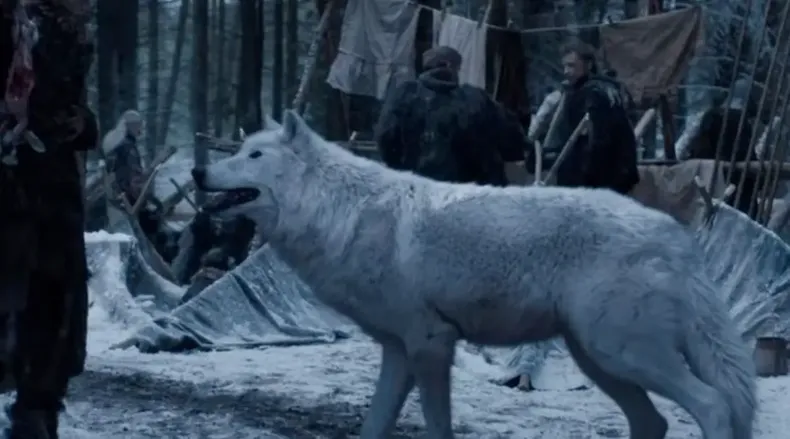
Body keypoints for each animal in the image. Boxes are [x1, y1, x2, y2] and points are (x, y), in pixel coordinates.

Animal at [191, 110, 757, 439]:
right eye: (238, 150)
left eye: (254, 155)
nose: (197, 171)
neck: (341, 211)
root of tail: (677, 234)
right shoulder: (398, 350)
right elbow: (374, 426)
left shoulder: (431, 343)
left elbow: (438, 427)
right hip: (599, 359)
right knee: (653, 421)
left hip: (621, 353)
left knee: (714, 406)